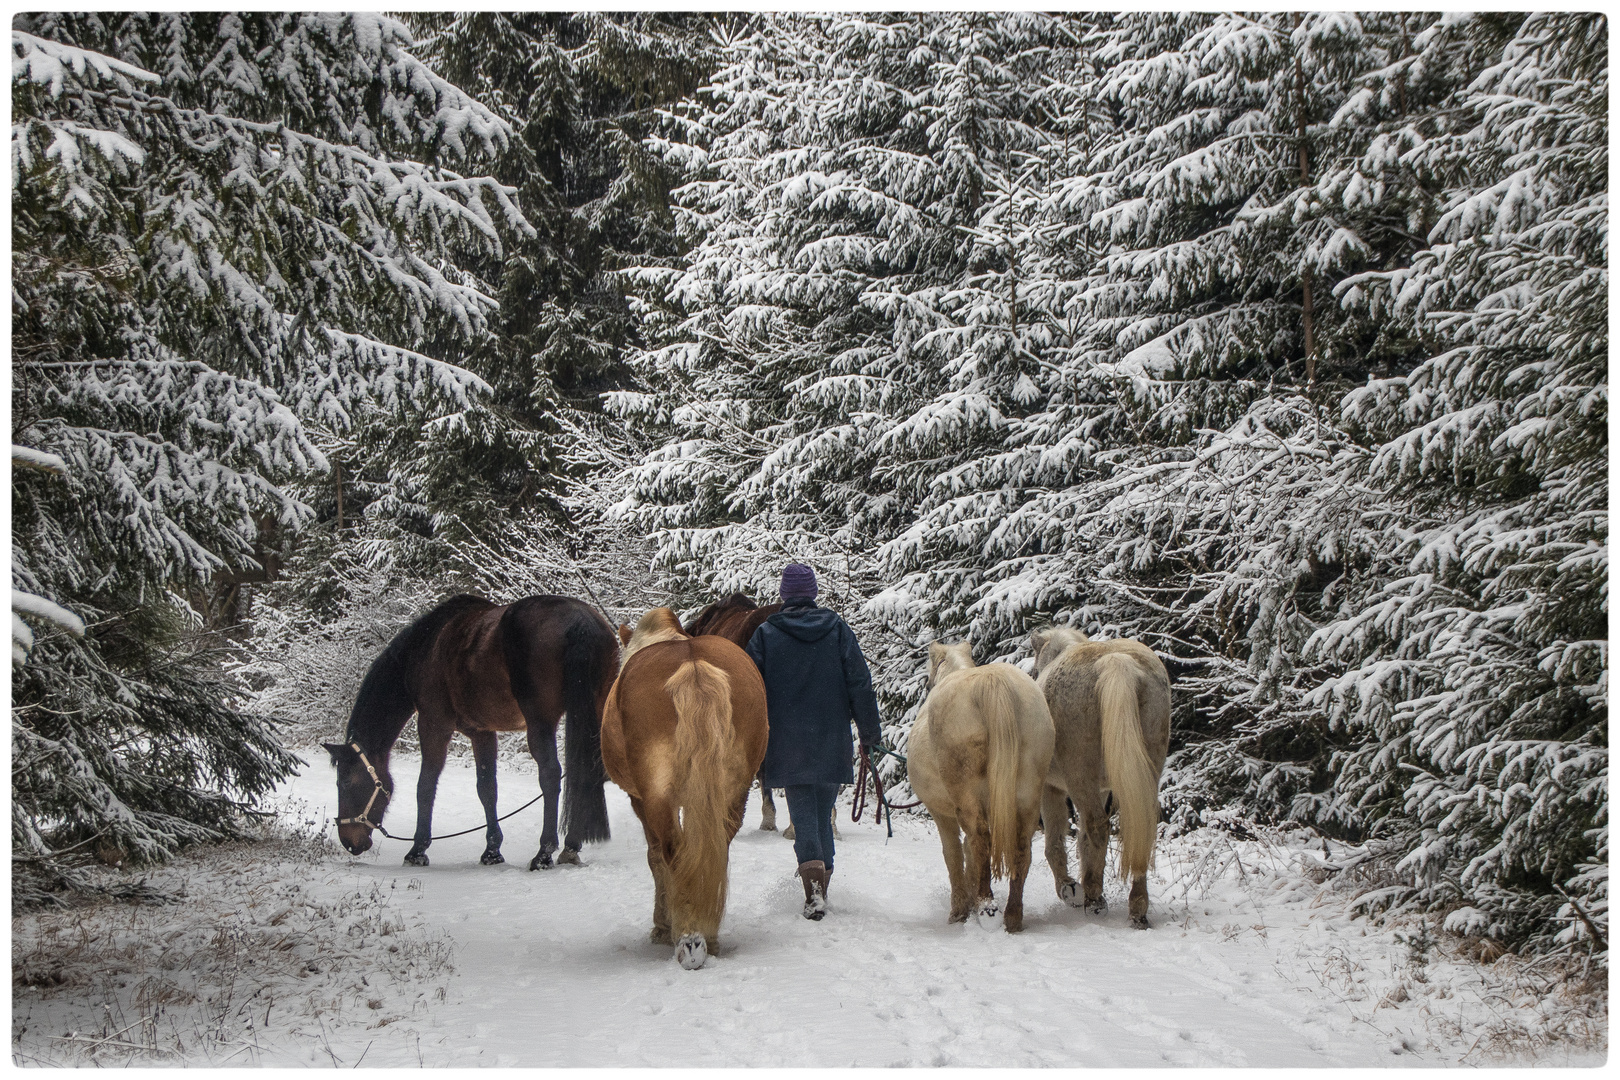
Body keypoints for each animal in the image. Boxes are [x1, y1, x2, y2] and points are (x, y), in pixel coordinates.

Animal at [325, 592, 615, 867]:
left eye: (345, 782)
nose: (349, 842)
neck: (424, 648)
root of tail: (581, 621)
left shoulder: (433, 725)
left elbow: (425, 786)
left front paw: (417, 850)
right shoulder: (482, 732)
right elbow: (487, 788)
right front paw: (492, 851)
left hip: (540, 723)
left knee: (551, 775)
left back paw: (544, 853)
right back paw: (570, 847)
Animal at [605, 608, 767, 971]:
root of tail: (693, 666)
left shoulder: (639, 800)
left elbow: (655, 858)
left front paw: (662, 925)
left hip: (657, 795)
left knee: (673, 851)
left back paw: (688, 938)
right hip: (733, 792)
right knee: (716, 849)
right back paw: (708, 934)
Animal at [907, 641, 1056, 932]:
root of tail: (992, 681)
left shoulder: (941, 813)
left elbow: (954, 855)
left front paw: (959, 910)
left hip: (967, 796)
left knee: (979, 840)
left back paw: (987, 906)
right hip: (1028, 796)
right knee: (1022, 850)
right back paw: (1012, 916)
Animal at [1030, 625, 1172, 932]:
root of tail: (1117, 662)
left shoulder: (1051, 788)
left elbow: (1055, 843)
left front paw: (1070, 889)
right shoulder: (1105, 788)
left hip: (1079, 776)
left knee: (1096, 825)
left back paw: (1094, 900)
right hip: (1145, 773)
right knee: (1140, 827)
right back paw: (1137, 909)